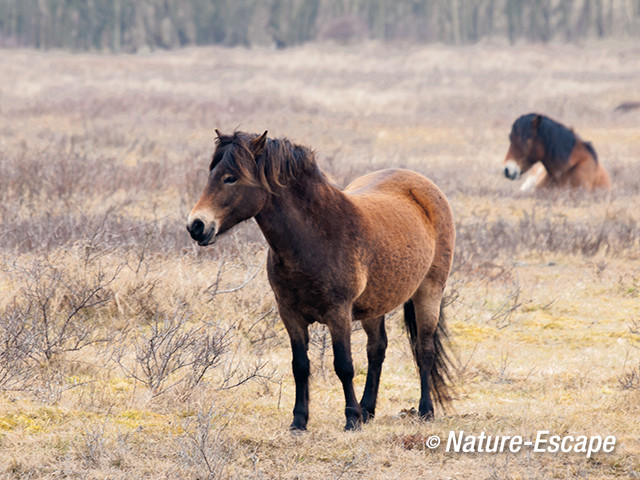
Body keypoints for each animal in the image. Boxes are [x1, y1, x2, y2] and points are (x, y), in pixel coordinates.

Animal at [185, 131, 456, 432]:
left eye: (230, 177)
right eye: (211, 173)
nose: (196, 226)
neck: (316, 236)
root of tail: (424, 187)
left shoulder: (338, 313)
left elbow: (344, 365)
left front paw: (351, 419)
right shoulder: (290, 314)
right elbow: (300, 366)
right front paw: (299, 421)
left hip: (429, 291)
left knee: (424, 349)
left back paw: (425, 410)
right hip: (375, 305)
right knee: (376, 350)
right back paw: (368, 409)